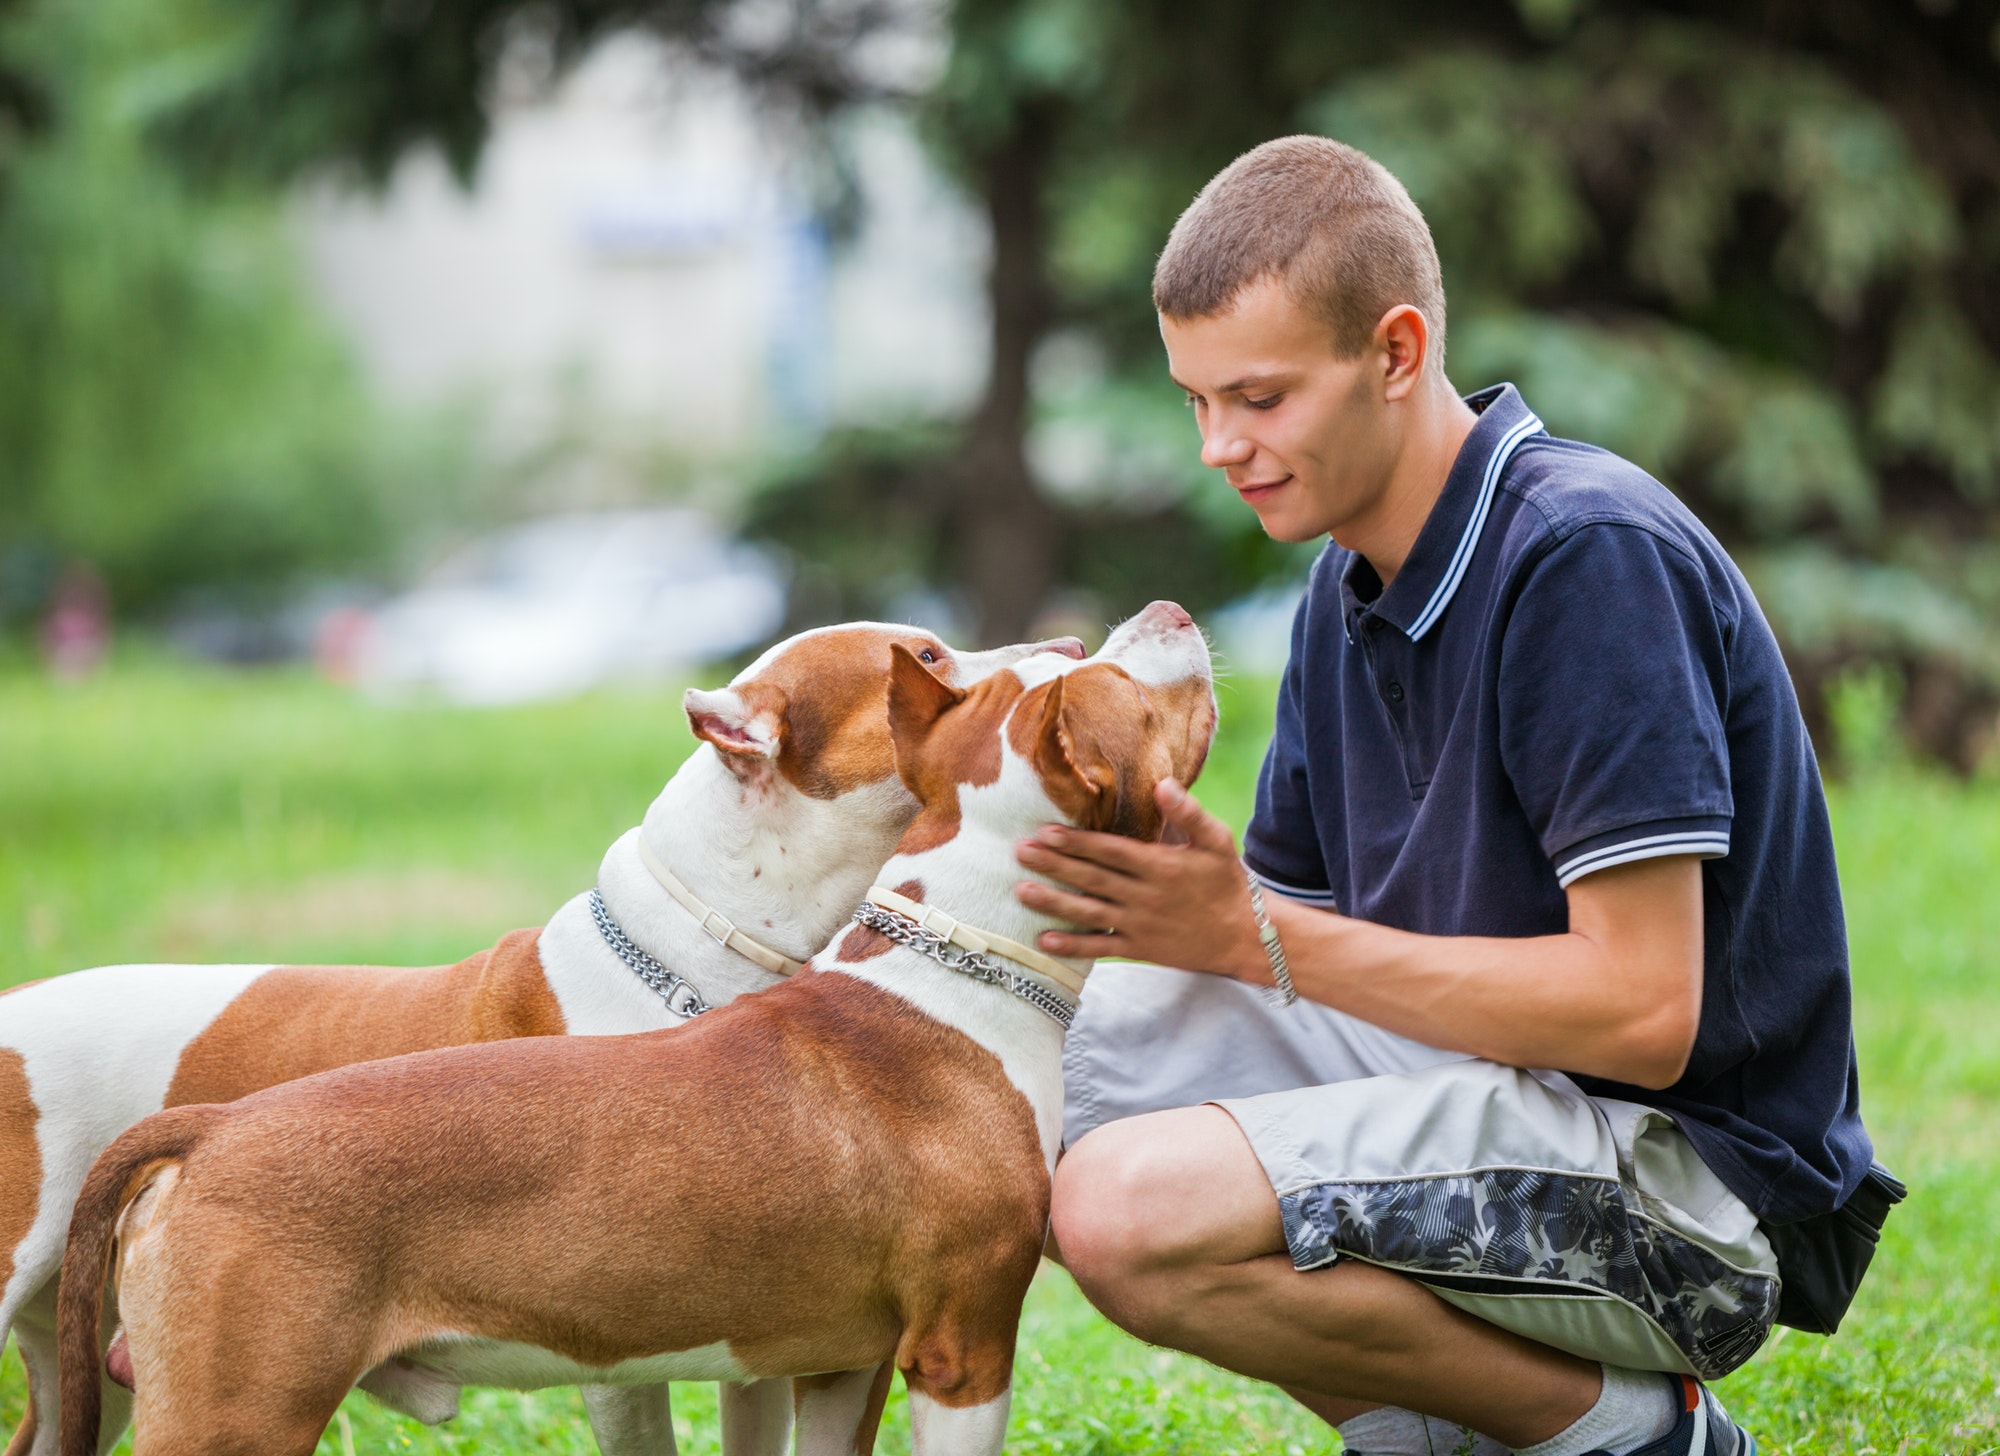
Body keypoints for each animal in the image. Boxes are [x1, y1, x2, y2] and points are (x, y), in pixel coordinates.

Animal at [58, 600, 1216, 1456]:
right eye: (1124, 690)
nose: (1148, 614)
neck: (949, 962)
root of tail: (210, 1131)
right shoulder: (961, 1348)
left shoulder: (836, 1361)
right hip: (235, 1414)